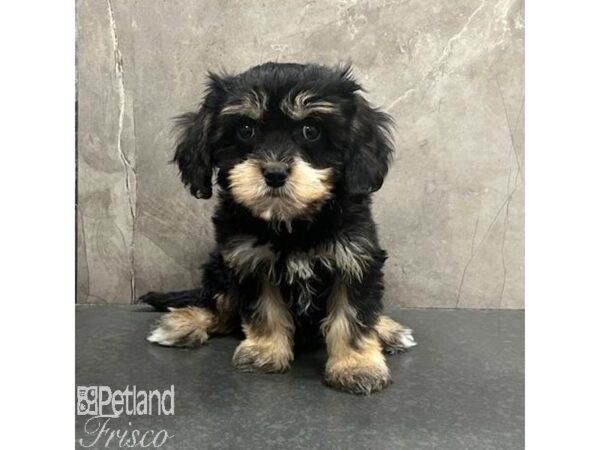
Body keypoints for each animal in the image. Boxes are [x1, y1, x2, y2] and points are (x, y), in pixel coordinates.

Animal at [141, 62, 414, 394]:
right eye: (246, 129)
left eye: (311, 131)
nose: (274, 173)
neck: (292, 224)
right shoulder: (248, 261)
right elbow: (264, 310)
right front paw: (264, 352)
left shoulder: (355, 259)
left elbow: (354, 316)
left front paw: (357, 366)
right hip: (218, 267)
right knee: (219, 306)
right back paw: (183, 324)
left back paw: (388, 329)